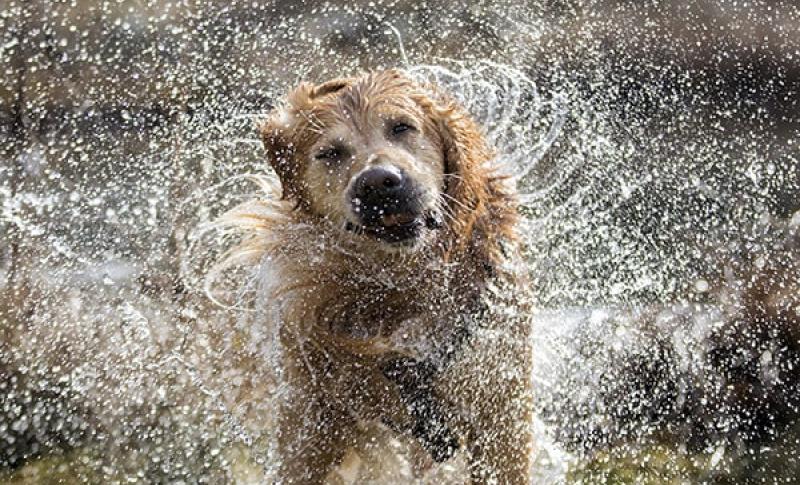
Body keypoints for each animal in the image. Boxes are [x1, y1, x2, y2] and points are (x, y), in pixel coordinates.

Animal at [222, 70, 536, 482]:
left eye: (402, 127)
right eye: (330, 153)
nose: (377, 182)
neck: (403, 284)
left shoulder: (501, 406)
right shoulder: (313, 414)